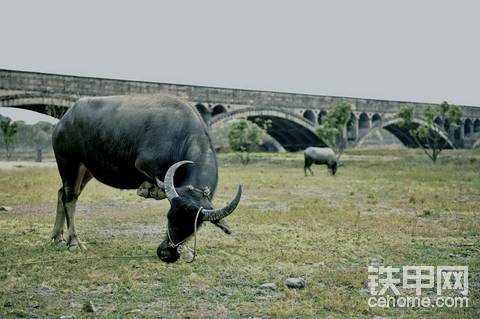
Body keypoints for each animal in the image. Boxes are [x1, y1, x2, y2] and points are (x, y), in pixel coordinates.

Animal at [51, 94, 244, 262]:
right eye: (169, 217)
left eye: (195, 226)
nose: (166, 253)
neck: (182, 136)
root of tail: (64, 120)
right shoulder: (145, 165)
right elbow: (160, 187)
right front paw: (148, 190)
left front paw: (186, 250)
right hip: (69, 163)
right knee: (70, 198)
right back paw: (74, 242)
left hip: (87, 169)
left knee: (62, 193)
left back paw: (57, 238)